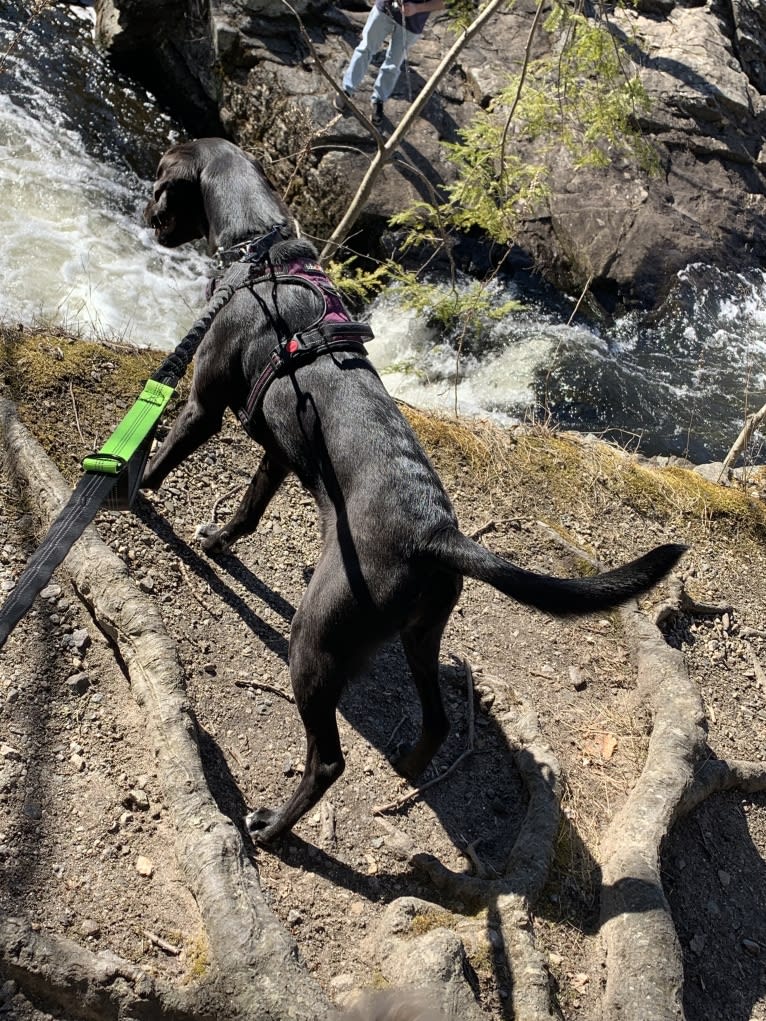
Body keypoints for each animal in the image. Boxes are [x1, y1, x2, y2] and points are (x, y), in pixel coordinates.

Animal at [144, 139, 690, 849]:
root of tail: (437, 534)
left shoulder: (204, 407)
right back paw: (408, 765)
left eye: (161, 181)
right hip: (420, 636)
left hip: (316, 639)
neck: (262, 253)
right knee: (437, 718)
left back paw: (273, 826)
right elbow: (249, 506)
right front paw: (218, 539)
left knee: (328, 760)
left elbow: (157, 457)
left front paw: (122, 488)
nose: (149, 218)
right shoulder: (279, 450)